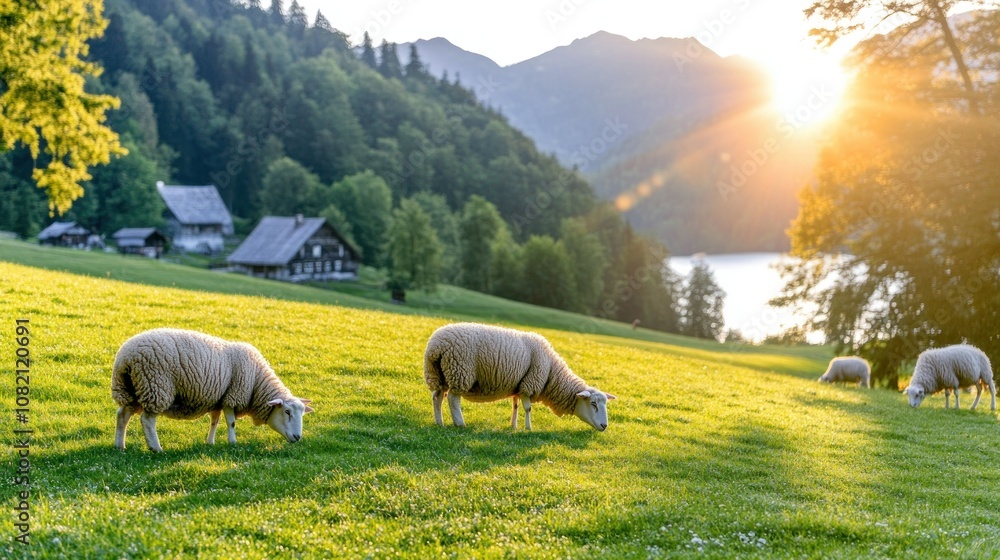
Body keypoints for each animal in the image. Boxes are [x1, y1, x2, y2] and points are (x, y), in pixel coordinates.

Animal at [111, 328, 314, 452]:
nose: (298, 437)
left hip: (131, 389)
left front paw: (210, 442)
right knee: (147, 420)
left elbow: (214, 421)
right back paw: (156, 448)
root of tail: (125, 358)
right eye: (286, 412)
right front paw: (233, 443)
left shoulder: (218, 399)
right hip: (156, 386)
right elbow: (231, 422)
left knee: (123, 415)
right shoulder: (233, 396)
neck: (257, 381)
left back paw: (120, 445)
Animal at [423, 322, 616, 431]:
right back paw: (459, 423)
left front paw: (513, 426)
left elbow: (515, 405)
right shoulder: (530, 383)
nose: (604, 426)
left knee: (437, 397)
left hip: (438, 374)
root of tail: (436, 346)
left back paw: (439, 422)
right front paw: (528, 428)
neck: (552, 372)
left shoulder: (518, 385)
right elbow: (528, 408)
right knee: (453, 399)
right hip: (460, 371)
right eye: (593, 404)